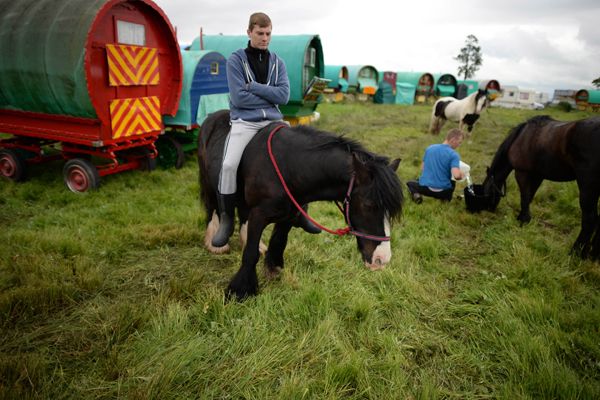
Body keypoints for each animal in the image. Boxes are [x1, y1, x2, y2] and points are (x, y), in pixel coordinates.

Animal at [198, 110, 404, 300]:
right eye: (368, 205)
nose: (382, 259)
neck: (288, 167)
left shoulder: (289, 215)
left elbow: (279, 242)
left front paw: (273, 269)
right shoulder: (259, 215)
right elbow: (250, 253)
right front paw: (240, 291)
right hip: (209, 182)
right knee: (213, 207)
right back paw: (215, 243)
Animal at [482, 115, 600, 260]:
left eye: (485, 193)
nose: (488, 210)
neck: (521, 136)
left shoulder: (522, 172)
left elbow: (524, 197)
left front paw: (523, 221)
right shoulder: (537, 176)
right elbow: (529, 197)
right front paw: (523, 217)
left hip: (587, 188)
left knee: (590, 220)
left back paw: (575, 253)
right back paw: (593, 254)